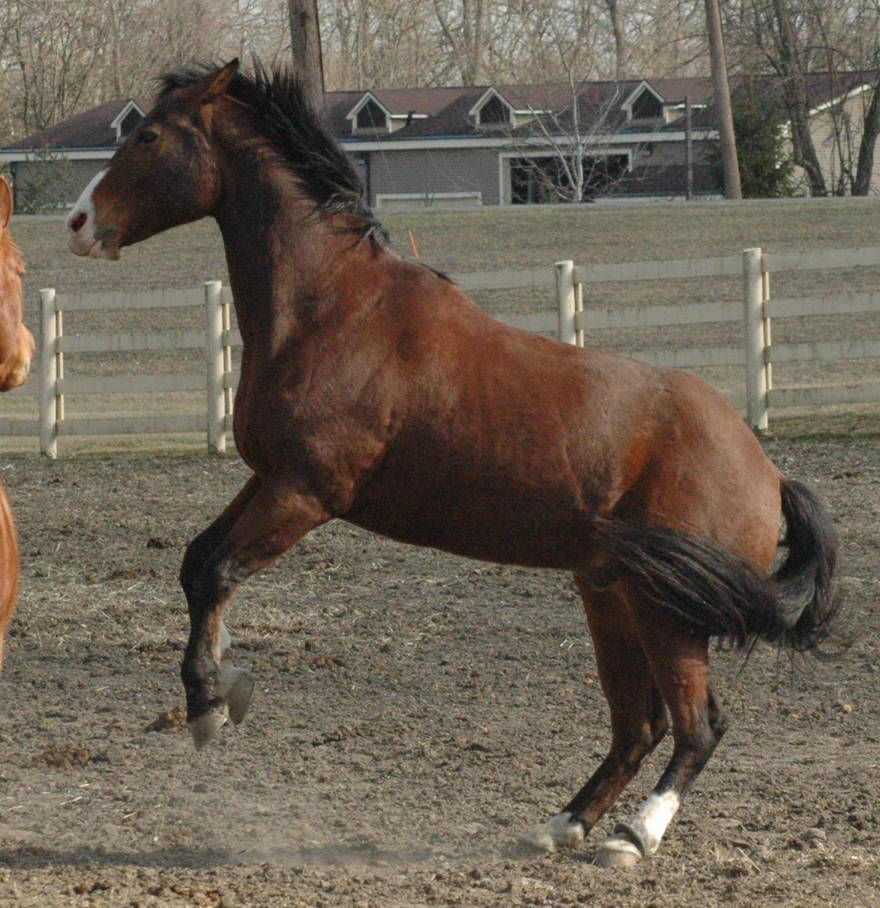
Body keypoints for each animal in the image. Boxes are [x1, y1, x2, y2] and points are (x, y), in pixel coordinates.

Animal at [65, 60, 841, 867]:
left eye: (150, 135)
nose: (79, 223)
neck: (330, 309)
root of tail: (768, 472)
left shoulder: (304, 493)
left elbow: (217, 572)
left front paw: (210, 705)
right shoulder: (269, 477)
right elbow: (196, 564)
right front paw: (225, 684)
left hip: (668, 611)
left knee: (697, 725)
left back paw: (633, 837)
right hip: (610, 593)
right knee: (638, 724)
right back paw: (562, 824)